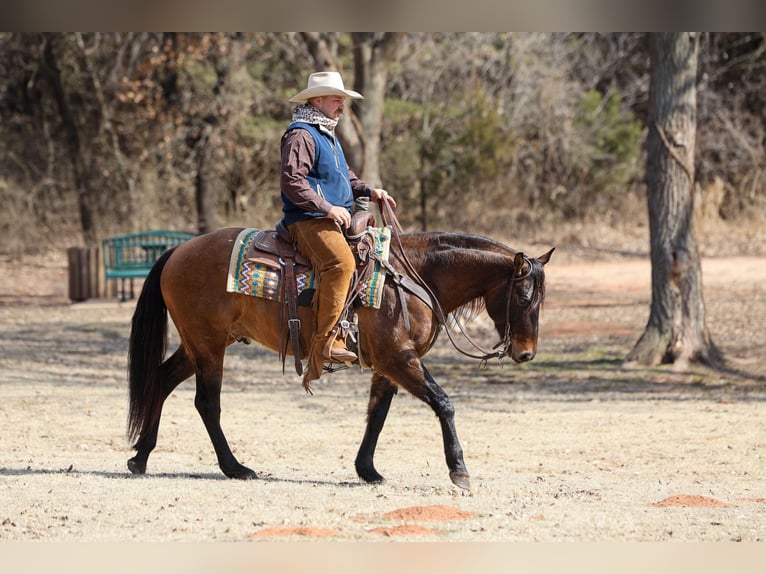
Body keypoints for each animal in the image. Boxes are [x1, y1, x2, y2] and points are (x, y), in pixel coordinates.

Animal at [126, 226, 553, 490]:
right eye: (523, 297)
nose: (526, 353)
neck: (416, 277)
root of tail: (178, 251)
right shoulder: (400, 358)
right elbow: (443, 403)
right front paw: (459, 470)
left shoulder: (388, 365)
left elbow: (377, 414)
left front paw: (367, 470)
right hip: (209, 346)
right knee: (207, 403)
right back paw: (235, 467)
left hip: (199, 345)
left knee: (161, 380)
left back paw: (141, 456)